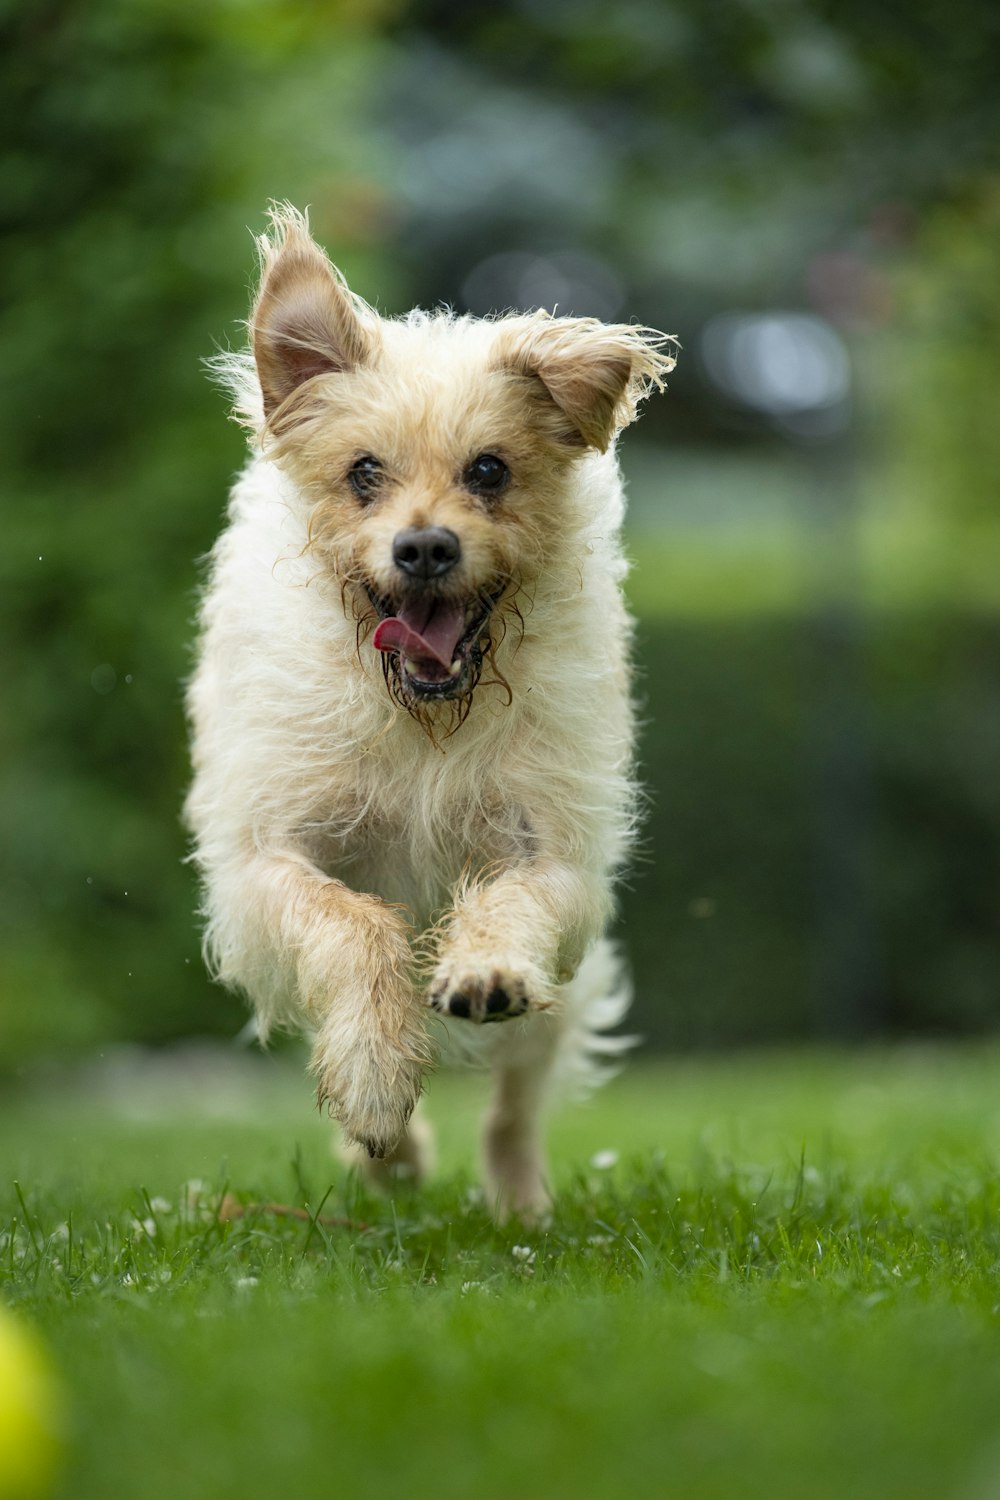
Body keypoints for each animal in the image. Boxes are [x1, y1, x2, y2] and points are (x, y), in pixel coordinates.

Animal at [183, 208, 677, 1218]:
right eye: (362, 472)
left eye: (490, 470)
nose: (423, 547)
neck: (422, 721)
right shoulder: (262, 868)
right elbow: (353, 927)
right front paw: (377, 1081)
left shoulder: (556, 856)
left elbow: (513, 900)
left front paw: (481, 967)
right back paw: (388, 1155)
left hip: (556, 1006)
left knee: (514, 1107)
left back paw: (523, 1206)